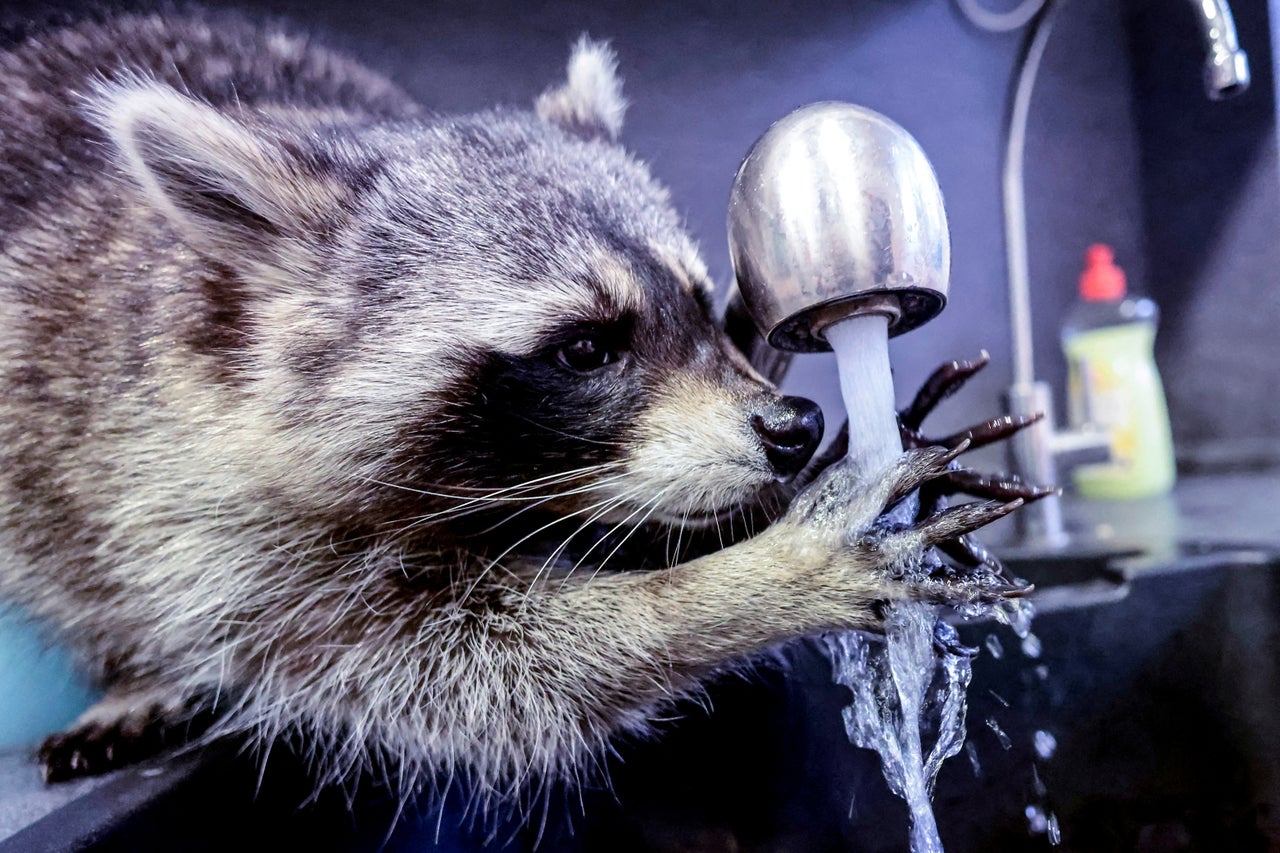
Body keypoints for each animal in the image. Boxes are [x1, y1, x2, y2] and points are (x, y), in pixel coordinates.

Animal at [0, 9, 1018, 799]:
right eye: (586, 348)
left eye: (707, 307)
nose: (793, 429)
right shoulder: (183, 485)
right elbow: (457, 672)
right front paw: (748, 584)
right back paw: (135, 671)